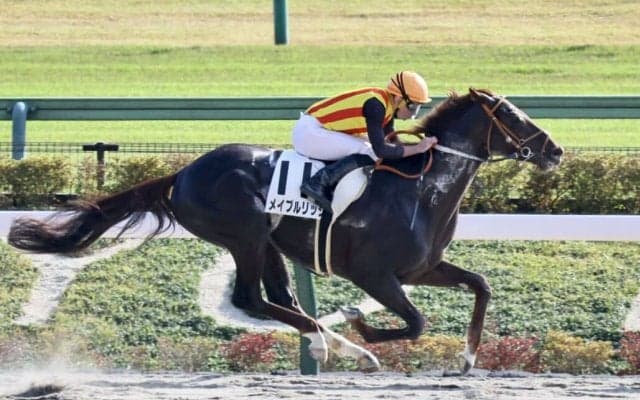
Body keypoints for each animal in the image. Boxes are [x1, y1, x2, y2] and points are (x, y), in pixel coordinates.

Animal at [8, 88, 563, 374]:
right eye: (513, 115)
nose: (555, 150)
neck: (422, 188)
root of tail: (183, 172)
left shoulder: (422, 268)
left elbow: (480, 286)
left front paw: (467, 360)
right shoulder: (373, 274)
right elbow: (415, 322)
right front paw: (360, 324)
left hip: (268, 241)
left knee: (278, 299)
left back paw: (327, 343)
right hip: (246, 236)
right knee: (251, 300)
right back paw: (345, 345)